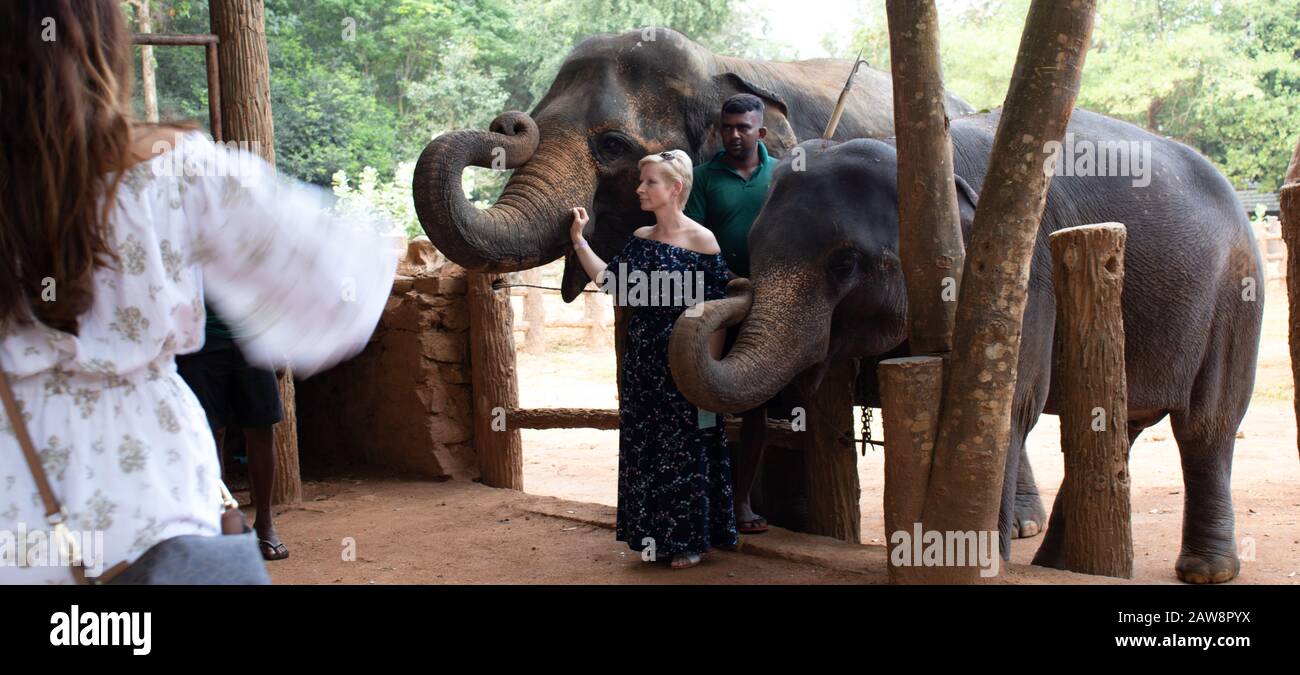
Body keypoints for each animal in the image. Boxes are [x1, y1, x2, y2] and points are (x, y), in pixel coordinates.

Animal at [670, 108, 1268, 582]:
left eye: (845, 263)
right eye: (751, 246)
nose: (736, 285)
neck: (911, 150)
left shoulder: (1022, 274)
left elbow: (1008, 405)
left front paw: (979, 562)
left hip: (1237, 298)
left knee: (1207, 426)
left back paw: (1206, 571)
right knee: (1116, 424)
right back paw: (1057, 564)